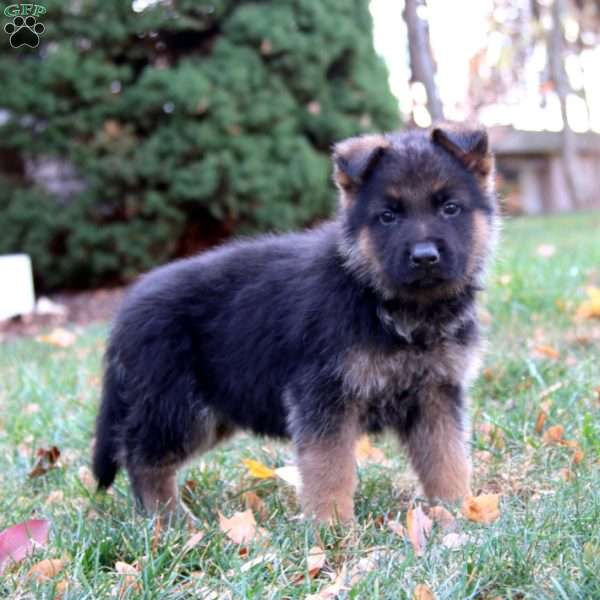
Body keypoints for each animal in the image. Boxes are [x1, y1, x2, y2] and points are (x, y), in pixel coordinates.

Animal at [92, 124, 496, 524]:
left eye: (450, 208)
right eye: (388, 216)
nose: (425, 257)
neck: (382, 299)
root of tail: (126, 310)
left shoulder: (436, 395)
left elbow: (446, 458)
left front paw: (458, 511)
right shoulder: (325, 396)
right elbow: (330, 468)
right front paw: (332, 527)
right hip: (179, 410)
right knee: (142, 458)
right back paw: (168, 520)